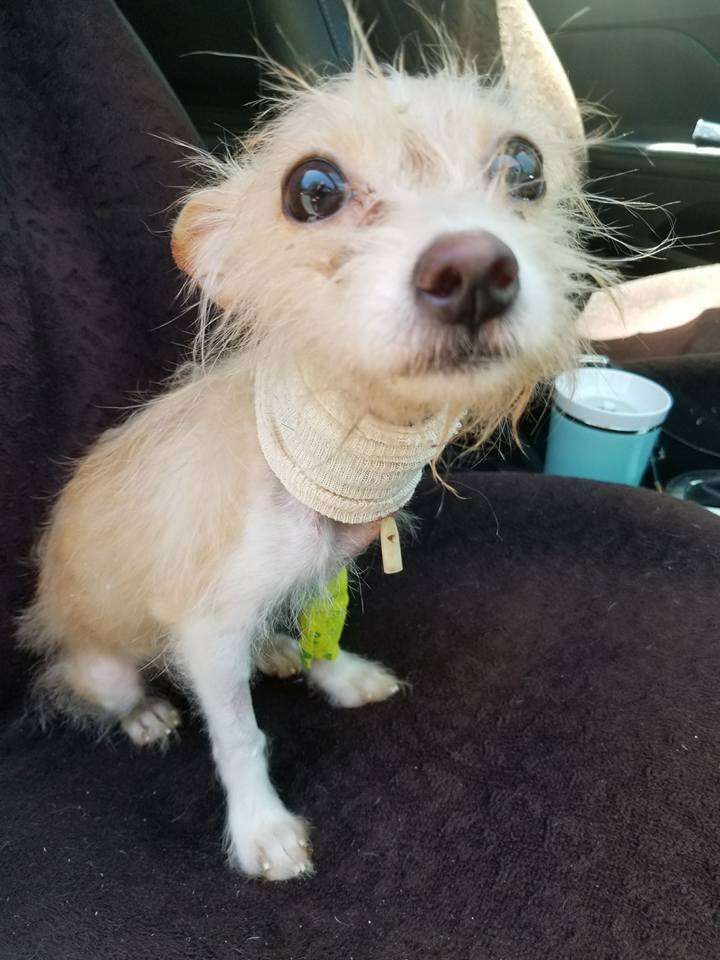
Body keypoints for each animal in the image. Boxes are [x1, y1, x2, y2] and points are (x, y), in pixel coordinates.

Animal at [18, 16, 608, 884]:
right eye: (313, 188)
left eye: (526, 165)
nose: (473, 271)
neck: (310, 464)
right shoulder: (207, 631)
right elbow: (238, 735)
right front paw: (261, 829)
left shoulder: (322, 568)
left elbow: (319, 625)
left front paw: (340, 672)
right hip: (102, 663)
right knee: (93, 686)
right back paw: (148, 712)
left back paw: (273, 651)